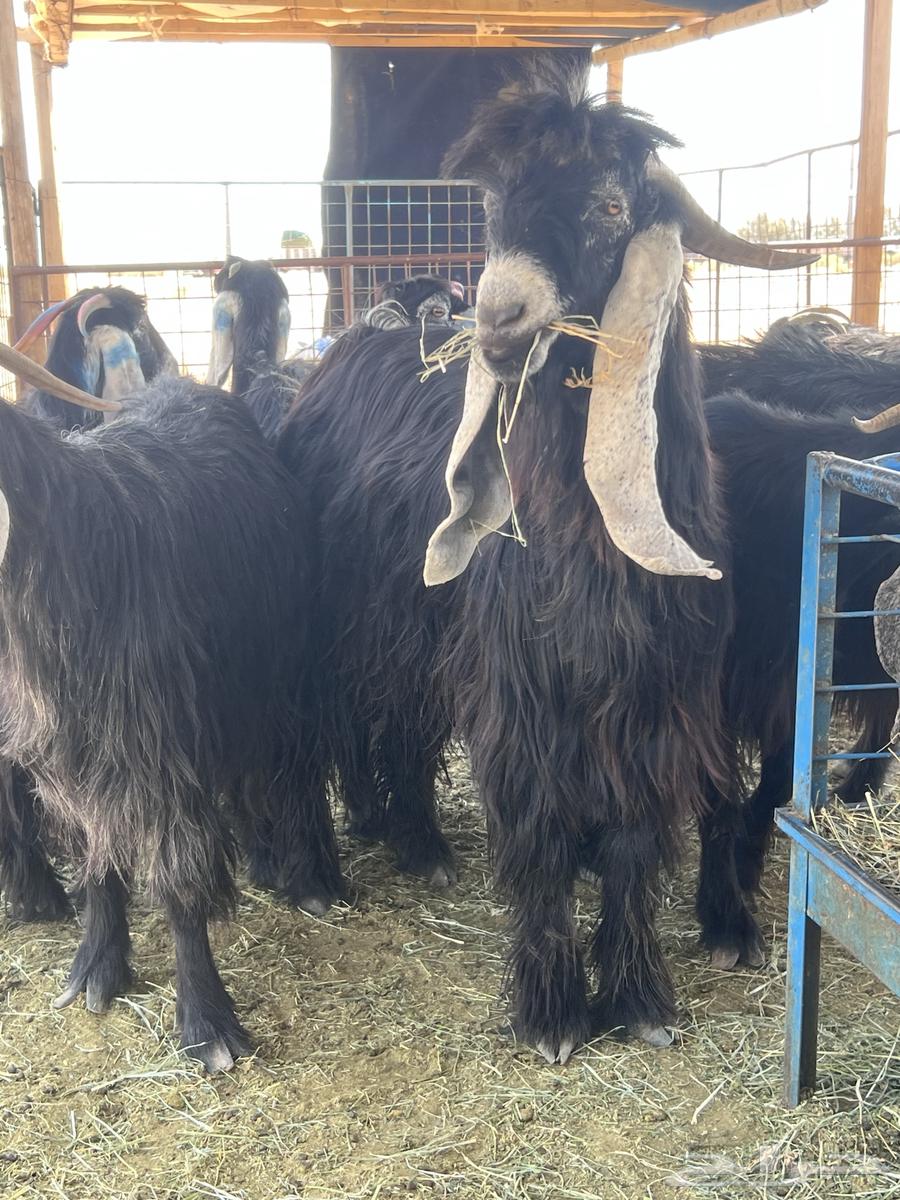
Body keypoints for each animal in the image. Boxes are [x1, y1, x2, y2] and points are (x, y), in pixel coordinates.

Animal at [0, 344, 341, 1071]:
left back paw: (295, 872)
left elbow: (181, 876)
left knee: (278, 768)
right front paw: (97, 966)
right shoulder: (68, 762)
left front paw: (207, 1021)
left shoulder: (158, 752)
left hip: (273, 680)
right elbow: (96, 857)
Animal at [263, 75, 814, 1063]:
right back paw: (320, 875)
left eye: (611, 205)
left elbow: (630, 840)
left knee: (395, 728)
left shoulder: (652, 702)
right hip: (334, 620)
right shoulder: (524, 694)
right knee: (312, 732)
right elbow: (543, 832)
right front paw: (555, 1013)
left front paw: (637, 998)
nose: (498, 322)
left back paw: (418, 844)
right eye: (491, 206)